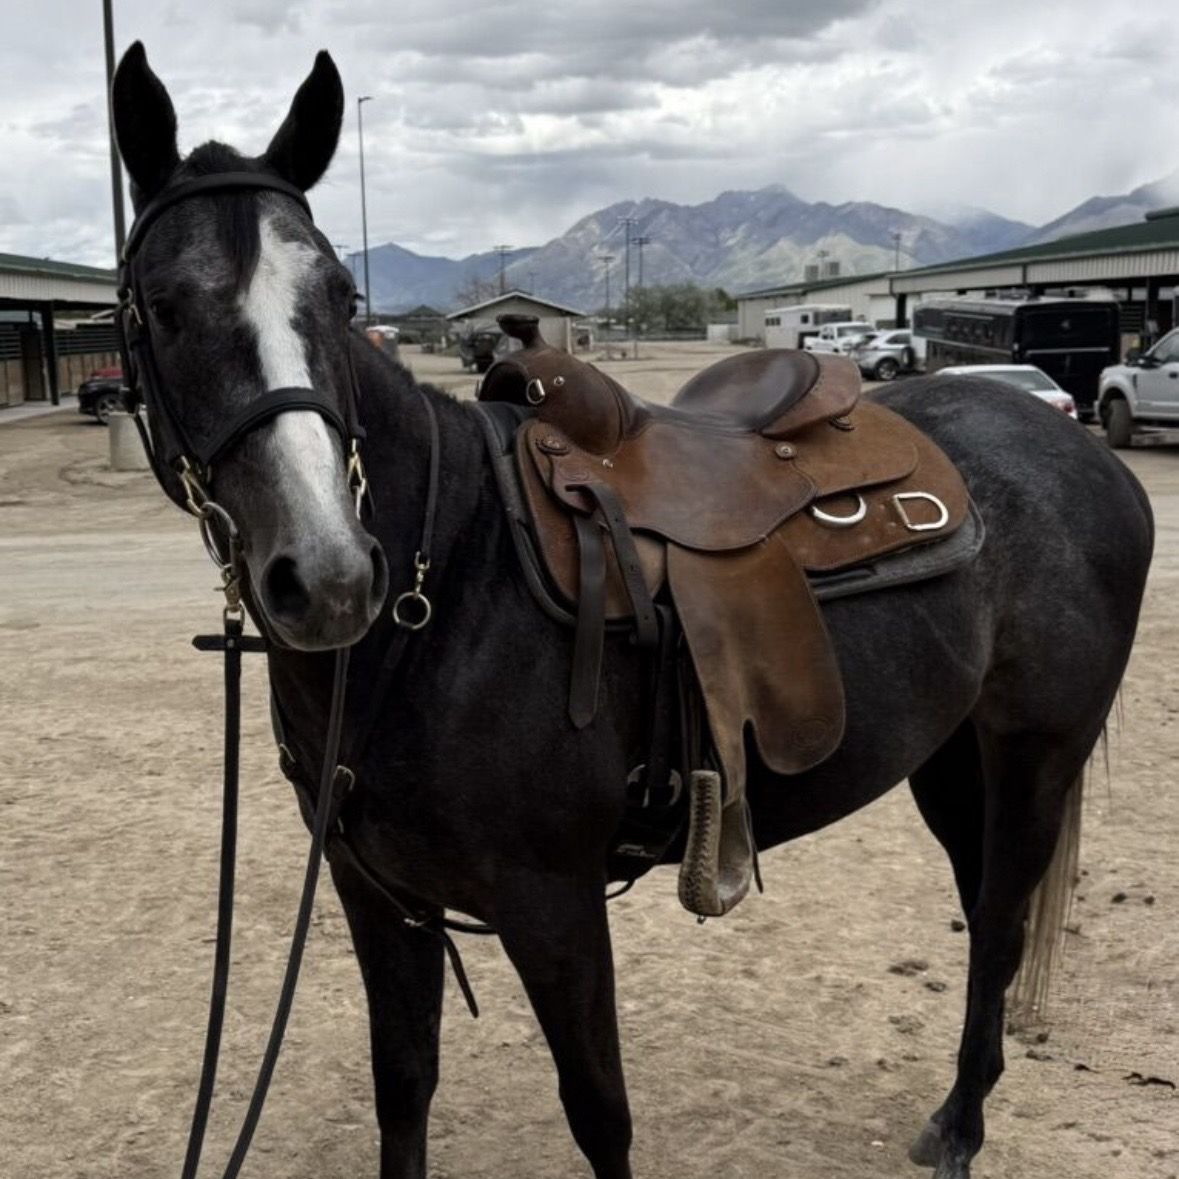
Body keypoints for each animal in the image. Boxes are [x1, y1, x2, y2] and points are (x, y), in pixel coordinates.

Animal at [111, 44, 1153, 1179]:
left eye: (342, 298)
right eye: (160, 305)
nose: (332, 573)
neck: (452, 590)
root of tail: (1079, 444)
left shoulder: (552, 903)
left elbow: (598, 1111)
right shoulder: (377, 895)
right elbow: (405, 1089)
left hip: (1034, 754)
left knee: (1001, 921)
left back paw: (962, 1126)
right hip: (951, 756)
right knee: (983, 910)